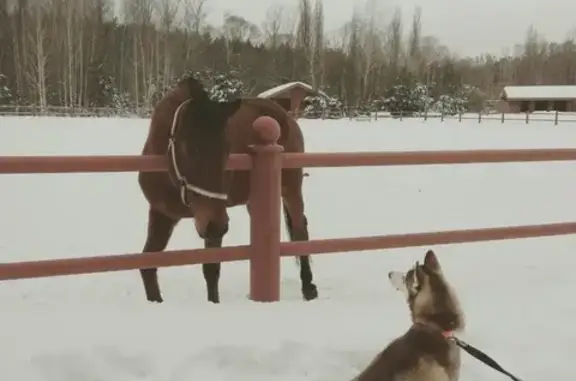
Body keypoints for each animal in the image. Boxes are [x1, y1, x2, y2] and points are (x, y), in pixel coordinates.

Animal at [138, 77, 320, 302]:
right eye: (187, 147)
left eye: (227, 149)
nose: (216, 226)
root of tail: (285, 115)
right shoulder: (163, 213)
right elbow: (147, 264)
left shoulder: (212, 217)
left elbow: (211, 270)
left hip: (290, 187)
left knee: (299, 229)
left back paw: (309, 287)